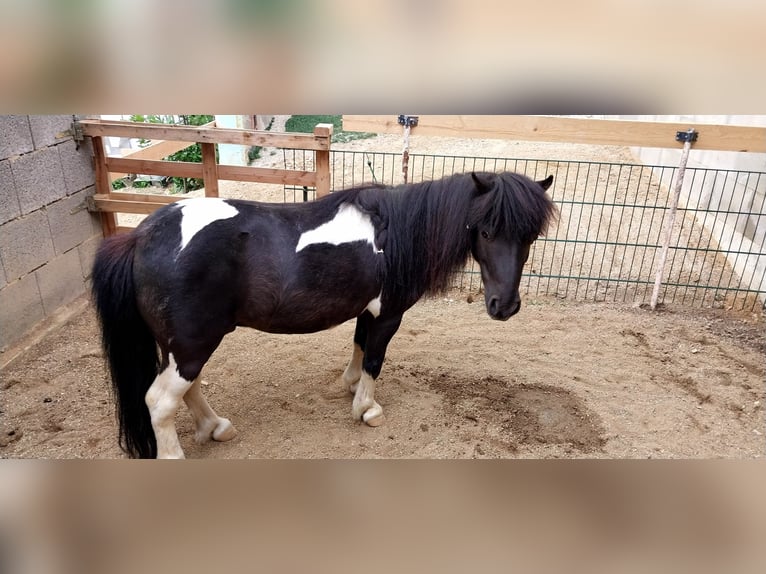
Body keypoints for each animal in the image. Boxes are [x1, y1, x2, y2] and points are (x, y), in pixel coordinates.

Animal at [91, 171, 556, 458]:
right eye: (486, 230)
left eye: (530, 235)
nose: (505, 306)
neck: (395, 233)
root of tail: (141, 236)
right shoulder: (389, 314)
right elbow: (374, 359)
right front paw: (367, 410)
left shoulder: (367, 310)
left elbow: (358, 346)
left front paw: (346, 387)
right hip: (192, 343)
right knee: (160, 401)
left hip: (183, 344)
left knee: (187, 389)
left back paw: (216, 427)